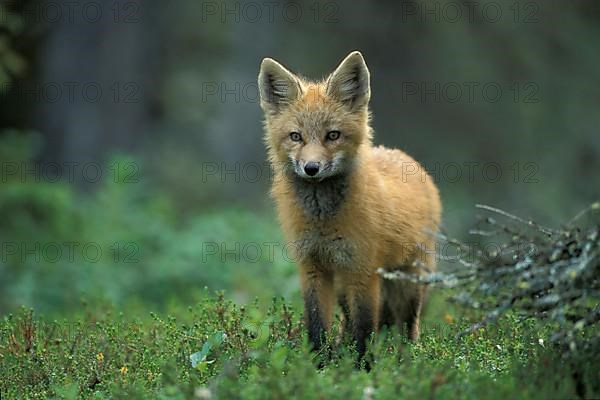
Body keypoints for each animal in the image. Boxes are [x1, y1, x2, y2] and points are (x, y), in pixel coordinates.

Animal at [258, 50, 440, 362]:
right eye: (296, 136)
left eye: (333, 135)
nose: (311, 168)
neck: (322, 221)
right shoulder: (313, 268)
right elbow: (317, 326)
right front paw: (319, 366)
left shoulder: (363, 271)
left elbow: (364, 330)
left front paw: (362, 368)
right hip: (345, 286)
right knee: (348, 323)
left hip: (409, 281)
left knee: (408, 326)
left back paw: (407, 360)